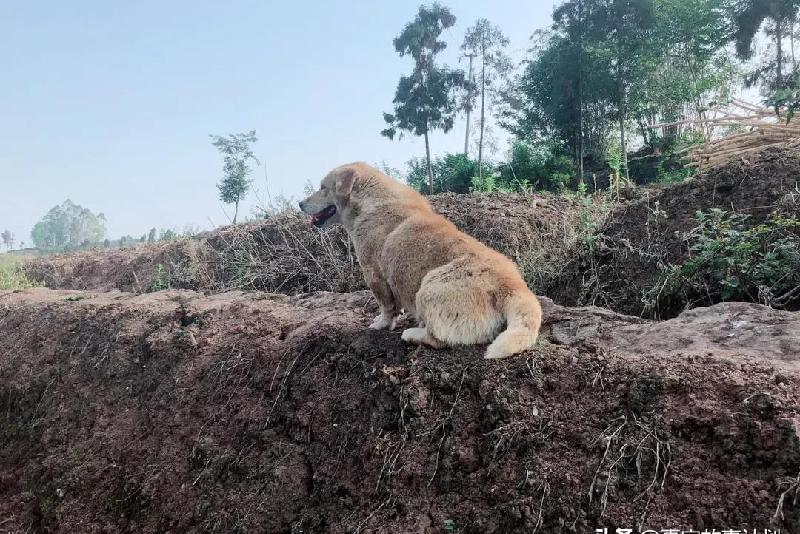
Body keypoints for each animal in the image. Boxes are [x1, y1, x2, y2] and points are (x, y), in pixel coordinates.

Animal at [300, 163, 544, 360]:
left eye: (323, 187)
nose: (300, 203)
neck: (369, 202)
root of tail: (513, 286)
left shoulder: (373, 273)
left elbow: (386, 306)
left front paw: (381, 324)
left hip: (428, 289)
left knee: (439, 339)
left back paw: (412, 334)